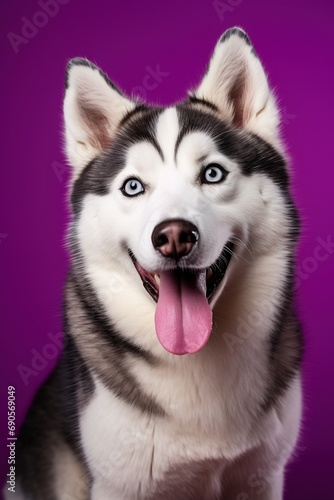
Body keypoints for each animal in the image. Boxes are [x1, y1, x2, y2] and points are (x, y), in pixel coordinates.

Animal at [11, 28, 302, 500]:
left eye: (213, 174)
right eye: (133, 186)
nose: (174, 237)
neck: (196, 361)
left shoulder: (261, 476)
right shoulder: (117, 484)